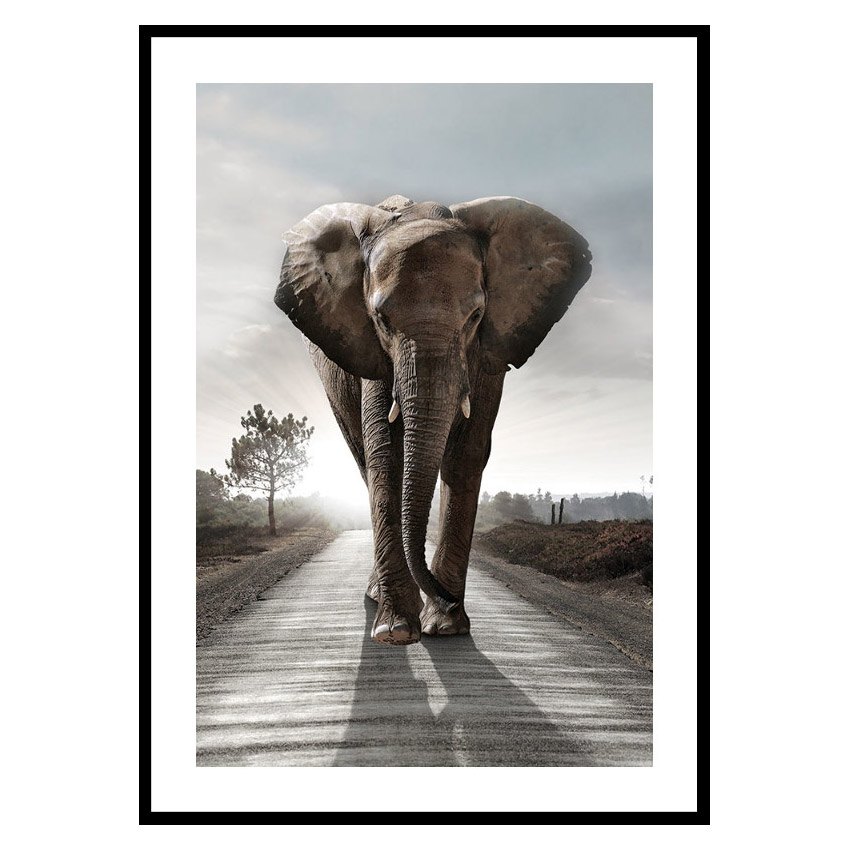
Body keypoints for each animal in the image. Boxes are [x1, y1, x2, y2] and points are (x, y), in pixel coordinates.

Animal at [275, 195, 591, 645]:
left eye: (476, 316)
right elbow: (386, 454)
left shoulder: (489, 352)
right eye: (381, 320)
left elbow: (467, 453)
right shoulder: (373, 353)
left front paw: (445, 627)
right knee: (363, 459)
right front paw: (396, 631)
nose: (447, 598)